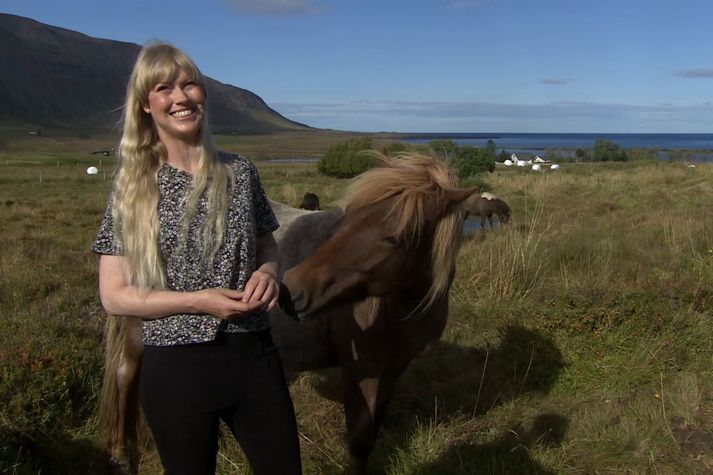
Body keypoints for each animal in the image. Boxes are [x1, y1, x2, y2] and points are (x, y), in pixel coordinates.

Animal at [98, 154, 472, 474]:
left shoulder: (392, 371)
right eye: (347, 219)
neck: (399, 310)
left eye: (395, 238)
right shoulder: (359, 370)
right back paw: (120, 455)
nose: (291, 289)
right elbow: (359, 442)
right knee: (125, 376)